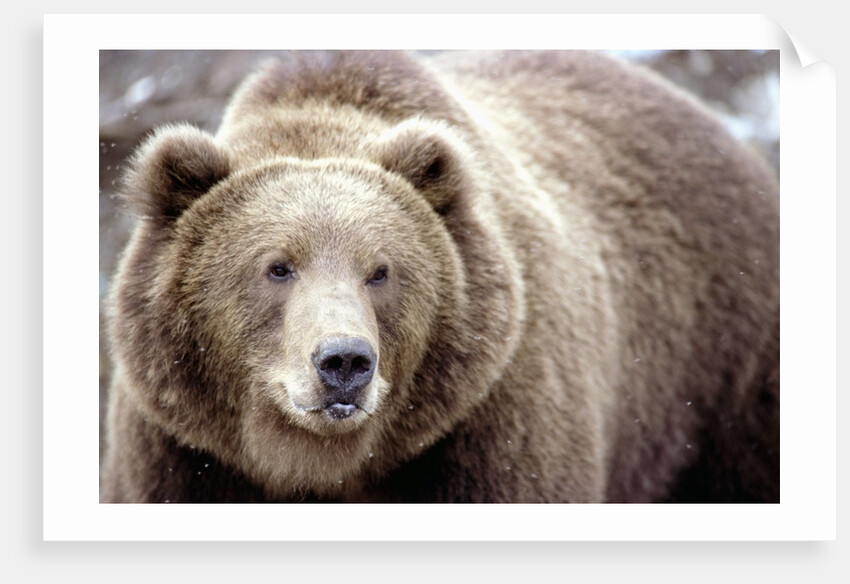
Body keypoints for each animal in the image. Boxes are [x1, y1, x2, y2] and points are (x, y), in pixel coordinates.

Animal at [101, 50, 779, 503]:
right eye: (277, 266)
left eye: (380, 271)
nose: (344, 362)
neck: (318, 464)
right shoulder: (183, 457)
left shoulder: (489, 427)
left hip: (723, 373)